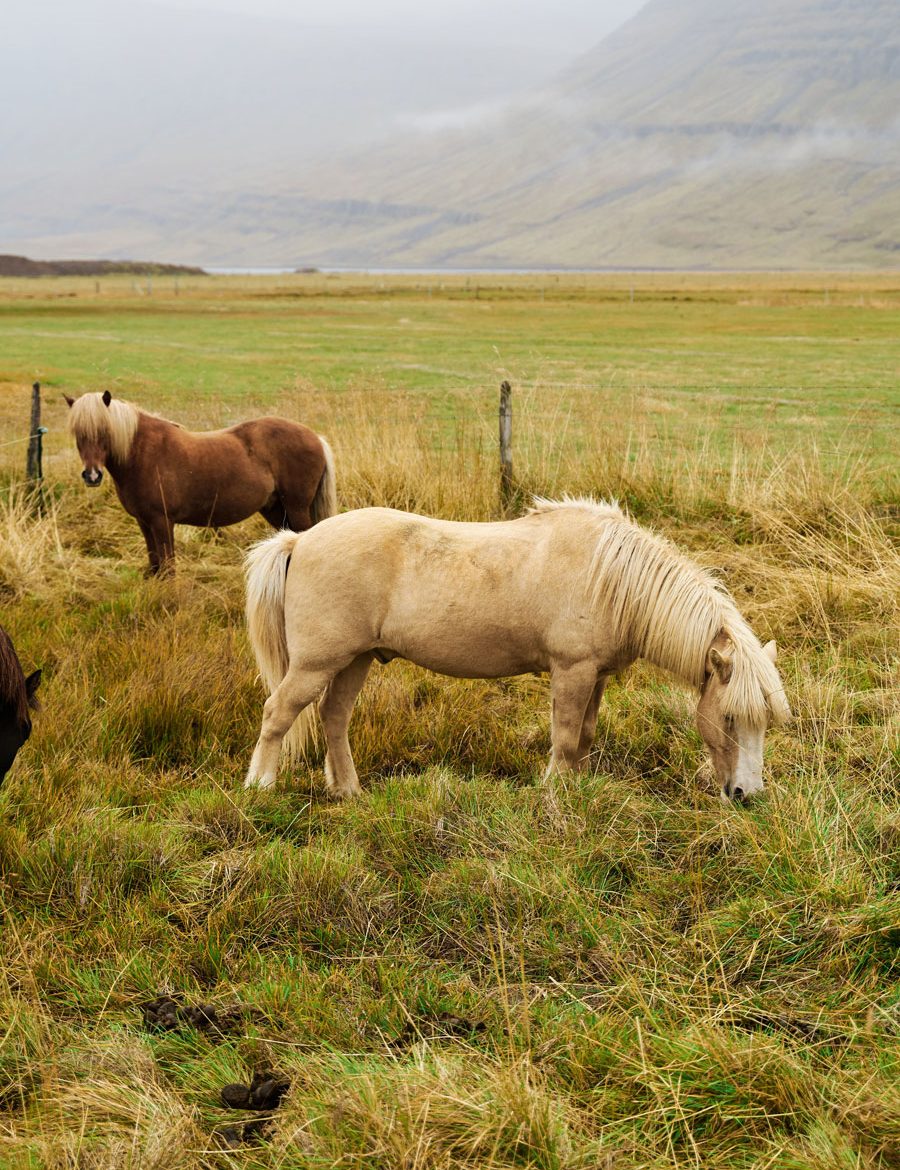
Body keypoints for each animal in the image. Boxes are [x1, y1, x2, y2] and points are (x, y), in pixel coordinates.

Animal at [66, 391, 337, 575]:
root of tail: (316, 438)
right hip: (275, 509)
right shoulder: (144, 522)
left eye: (104, 431)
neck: (142, 454)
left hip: (296, 507)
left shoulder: (162, 521)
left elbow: (168, 567)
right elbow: (155, 564)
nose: (92, 476)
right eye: (77, 434)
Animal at [242, 499, 791, 803]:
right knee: (278, 713)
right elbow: (565, 738)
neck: (612, 577)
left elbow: (585, 736)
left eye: (764, 721)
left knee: (334, 718)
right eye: (729, 718)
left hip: (354, 660)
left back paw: (348, 791)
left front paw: (577, 787)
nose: (746, 796)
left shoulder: (596, 676)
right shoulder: (571, 671)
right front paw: (553, 792)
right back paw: (260, 787)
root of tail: (299, 541)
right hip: (316, 663)